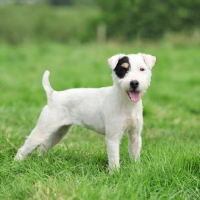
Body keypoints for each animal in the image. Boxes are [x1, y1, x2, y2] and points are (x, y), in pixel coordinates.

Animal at [15, 52, 156, 169]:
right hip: (43, 129)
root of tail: (53, 95)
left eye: (142, 69)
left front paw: (136, 169)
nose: (134, 83)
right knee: (24, 148)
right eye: (122, 69)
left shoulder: (135, 135)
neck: (127, 103)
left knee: (44, 145)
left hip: (60, 131)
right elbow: (114, 159)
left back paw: (41, 161)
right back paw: (16, 164)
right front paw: (115, 174)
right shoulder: (113, 137)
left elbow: (135, 155)